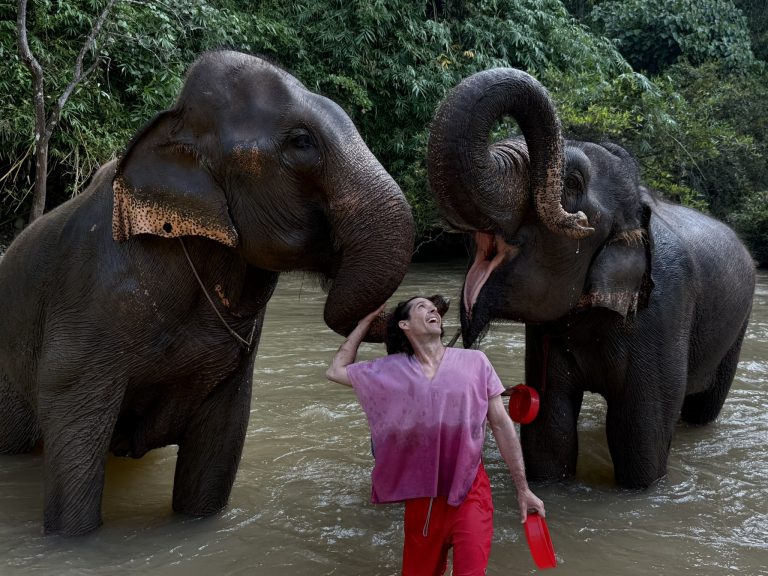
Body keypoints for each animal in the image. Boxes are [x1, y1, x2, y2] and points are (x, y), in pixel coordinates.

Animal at [0, 50, 414, 535]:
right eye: (301, 142)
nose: (421, 309)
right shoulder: (89, 304)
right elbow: (74, 434)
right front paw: (72, 542)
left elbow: (220, 440)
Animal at [427, 68, 756, 489]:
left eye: (571, 184)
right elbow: (549, 431)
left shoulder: (665, 309)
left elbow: (639, 438)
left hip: (738, 327)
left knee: (703, 408)